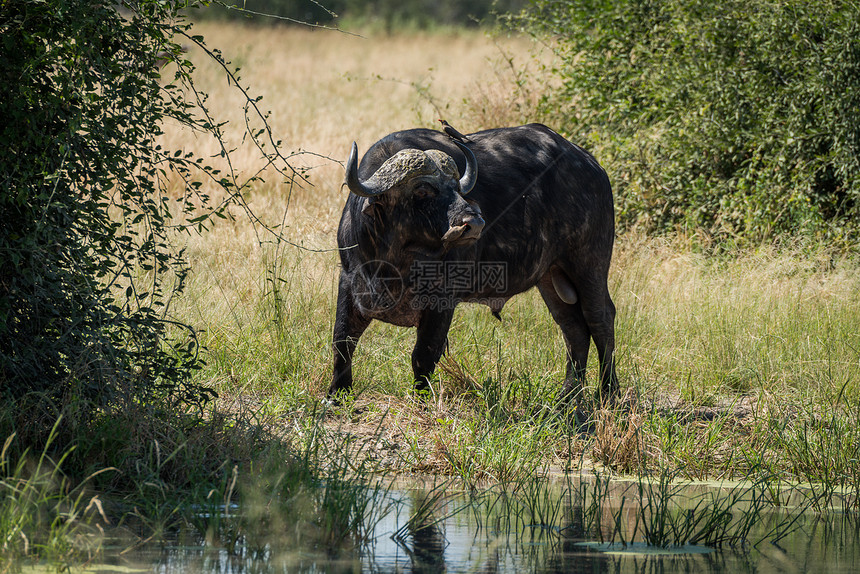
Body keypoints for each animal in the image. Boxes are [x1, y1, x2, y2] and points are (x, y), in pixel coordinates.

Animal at [328, 123, 620, 404]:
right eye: (422, 189)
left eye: (457, 188)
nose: (474, 222)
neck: (394, 263)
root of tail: (593, 167)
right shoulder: (350, 282)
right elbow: (342, 341)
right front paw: (337, 395)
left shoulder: (442, 300)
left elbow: (423, 355)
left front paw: (420, 401)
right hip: (550, 276)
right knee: (573, 328)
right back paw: (567, 395)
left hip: (588, 264)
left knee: (601, 319)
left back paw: (608, 392)